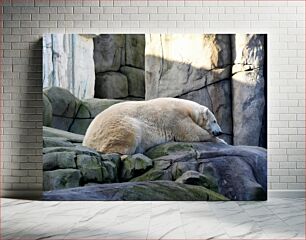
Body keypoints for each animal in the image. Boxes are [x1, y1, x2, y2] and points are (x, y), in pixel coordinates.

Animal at [82, 97, 226, 155]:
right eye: (214, 121)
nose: (220, 132)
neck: (189, 109)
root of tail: (86, 140)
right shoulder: (176, 116)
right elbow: (191, 133)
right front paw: (221, 141)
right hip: (117, 125)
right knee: (129, 132)